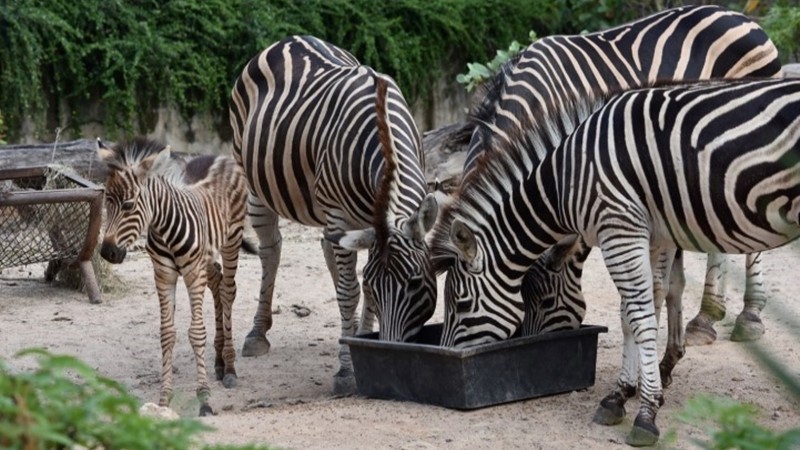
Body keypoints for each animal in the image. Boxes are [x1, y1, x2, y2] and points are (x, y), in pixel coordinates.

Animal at [99, 136, 252, 414]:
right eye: (106, 200)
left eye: (128, 205)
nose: (107, 252)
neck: (165, 228)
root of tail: (218, 156)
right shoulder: (163, 274)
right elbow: (167, 334)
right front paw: (163, 399)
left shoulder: (192, 272)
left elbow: (196, 333)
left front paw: (204, 400)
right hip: (207, 257)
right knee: (217, 282)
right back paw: (218, 362)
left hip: (231, 241)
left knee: (228, 291)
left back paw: (230, 367)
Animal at [228, 35, 440, 394]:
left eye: (415, 282)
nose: (394, 351)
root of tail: (288, 39)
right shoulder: (341, 215)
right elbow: (350, 291)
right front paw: (347, 370)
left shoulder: (367, 222)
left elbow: (354, 285)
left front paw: (360, 338)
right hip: (256, 184)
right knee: (271, 251)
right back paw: (257, 334)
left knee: (326, 250)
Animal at [432, 78, 800, 446]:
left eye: (461, 305)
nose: (446, 357)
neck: (566, 178)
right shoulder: (651, 234)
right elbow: (636, 310)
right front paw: (623, 393)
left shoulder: (620, 230)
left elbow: (640, 316)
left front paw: (647, 412)